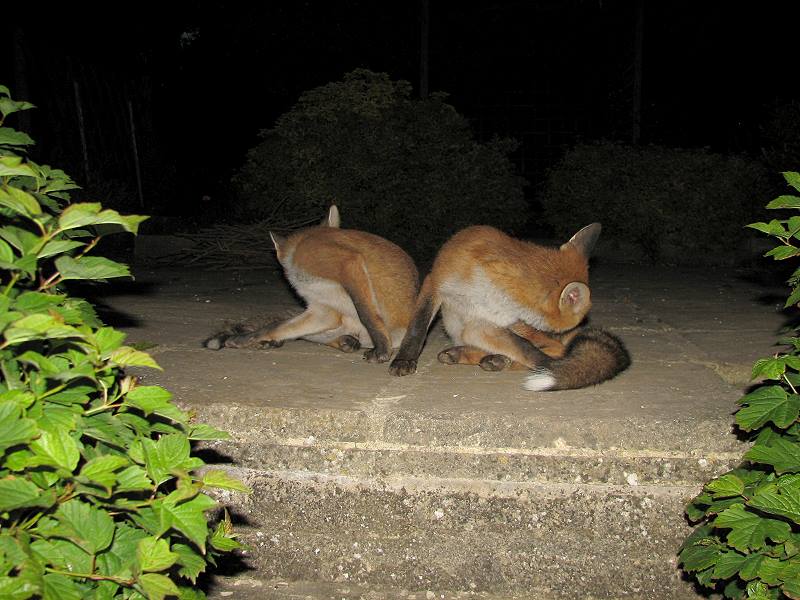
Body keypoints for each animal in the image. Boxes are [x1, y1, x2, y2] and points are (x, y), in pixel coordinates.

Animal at [204, 205, 419, 362]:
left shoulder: (343, 261)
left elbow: (368, 315)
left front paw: (382, 349)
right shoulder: (323, 310)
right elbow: (275, 328)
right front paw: (248, 339)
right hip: (332, 325)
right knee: (290, 330)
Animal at [388, 223, 630, 390]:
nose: (560, 333)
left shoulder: (490, 322)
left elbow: (526, 349)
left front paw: (556, 369)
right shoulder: (436, 283)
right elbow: (417, 330)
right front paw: (404, 360)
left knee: (555, 349)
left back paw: (495, 359)